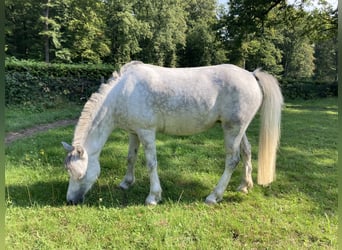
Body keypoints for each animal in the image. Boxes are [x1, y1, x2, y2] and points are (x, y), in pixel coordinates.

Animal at [62, 61, 284, 205]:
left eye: (80, 175)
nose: (71, 201)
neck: (123, 92)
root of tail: (251, 75)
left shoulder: (146, 132)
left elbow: (151, 163)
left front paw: (153, 197)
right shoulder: (134, 132)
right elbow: (130, 158)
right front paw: (126, 183)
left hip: (232, 129)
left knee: (232, 160)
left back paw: (214, 196)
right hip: (240, 129)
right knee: (247, 152)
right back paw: (245, 186)